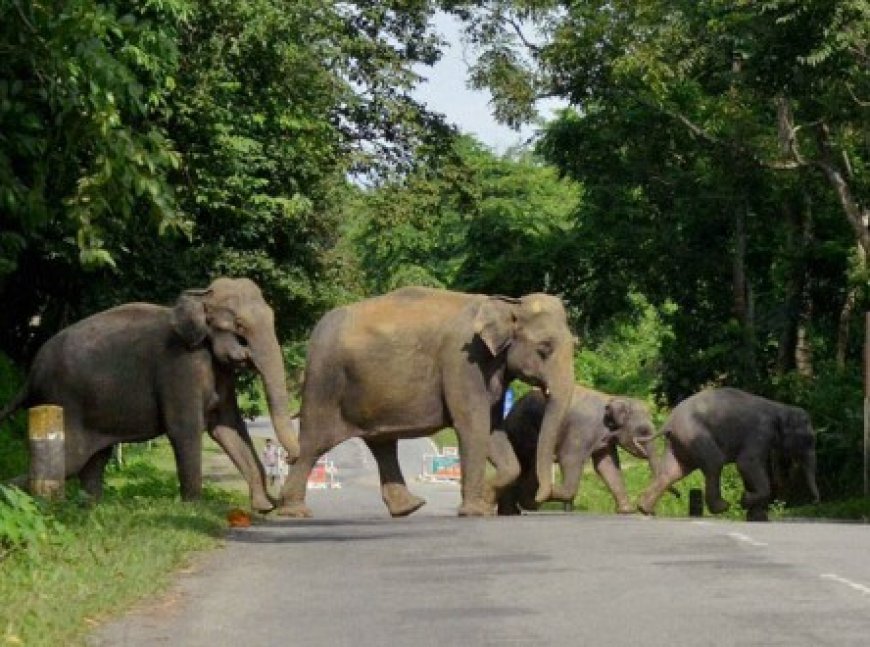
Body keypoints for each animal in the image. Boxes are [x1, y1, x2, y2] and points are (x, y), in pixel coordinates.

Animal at [280, 288, 576, 516]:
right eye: (545, 348)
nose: (539, 497)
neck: (509, 303)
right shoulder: (463, 361)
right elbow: (473, 425)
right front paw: (476, 510)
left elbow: (492, 428)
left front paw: (486, 500)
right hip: (324, 379)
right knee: (314, 442)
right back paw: (295, 512)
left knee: (381, 443)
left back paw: (408, 508)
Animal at [494, 384, 656, 516]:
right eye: (643, 431)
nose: (647, 510)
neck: (612, 398)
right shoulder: (580, 429)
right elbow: (569, 459)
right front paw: (543, 495)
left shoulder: (605, 440)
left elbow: (607, 466)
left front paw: (627, 511)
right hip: (523, 431)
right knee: (529, 465)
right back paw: (520, 507)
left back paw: (513, 511)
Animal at [636, 384, 820, 520]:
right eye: (809, 440)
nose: (816, 501)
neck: (779, 407)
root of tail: (669, 422)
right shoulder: (760, 432)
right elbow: (747, 463)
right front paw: (744, 501)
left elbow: (749, 470)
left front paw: (757, 517)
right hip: (694, 433)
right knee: (714, 462)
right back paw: (723, 507)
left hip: (680, 442)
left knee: (672, 472)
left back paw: (644, 509)